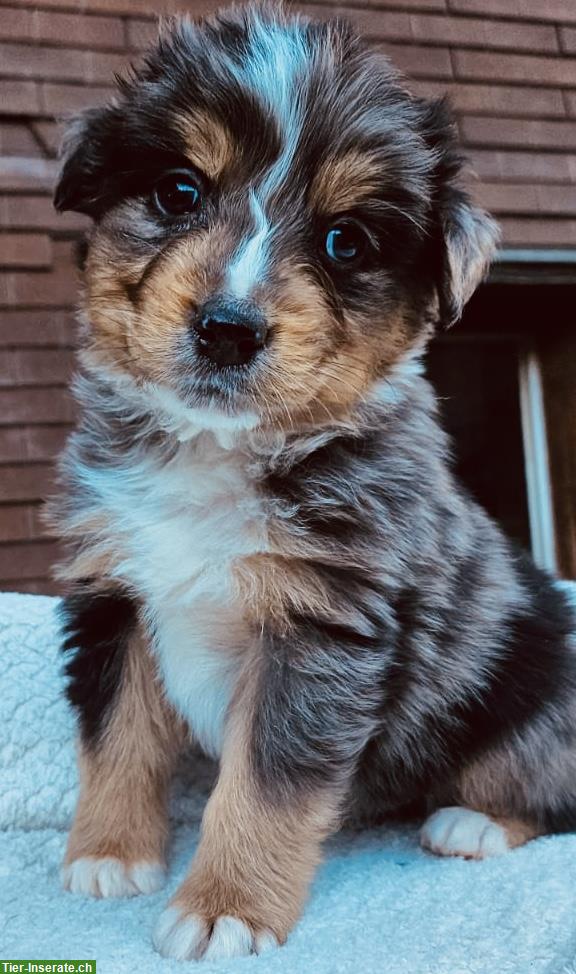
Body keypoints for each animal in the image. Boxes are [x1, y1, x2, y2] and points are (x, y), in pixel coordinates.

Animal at [48, 3, 576, 964]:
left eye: (346, 242)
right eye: (179, 191)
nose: (226, 329)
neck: (219, 452)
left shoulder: (322, 628)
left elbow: (265, 787)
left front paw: (224, 906)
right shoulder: (114, 595)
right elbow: (116, 739)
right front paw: (108, 853)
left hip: (533, 680)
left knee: (546, 782)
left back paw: (473, 824)